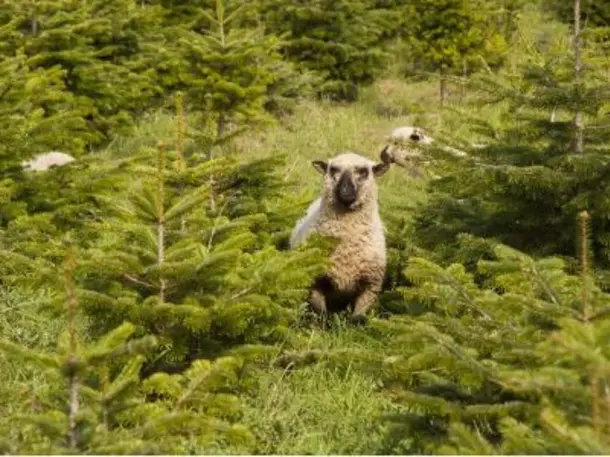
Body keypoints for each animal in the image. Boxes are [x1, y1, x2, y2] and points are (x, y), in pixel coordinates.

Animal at [288, 150, 392, 324]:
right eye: (333, 169)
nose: (345, 192)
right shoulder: (316, 281)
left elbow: (357, 317)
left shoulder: (370, 285)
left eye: (363, 171)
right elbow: (321, 314)